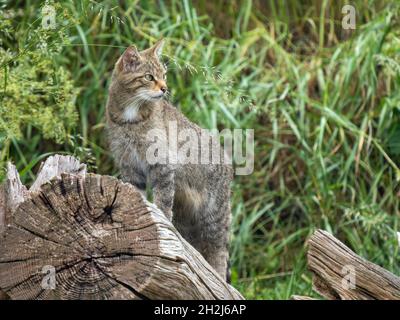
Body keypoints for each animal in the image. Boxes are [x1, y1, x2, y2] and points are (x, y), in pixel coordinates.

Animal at [104, 39, 233, 280]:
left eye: (163, 75)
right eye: (149, 77)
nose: (164, 88)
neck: (130, 118)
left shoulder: (161, 163)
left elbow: (163, 199)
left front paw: (161, 217)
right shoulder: (129, 164)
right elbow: (137, 192)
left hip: (214, 217)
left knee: (219, 253)